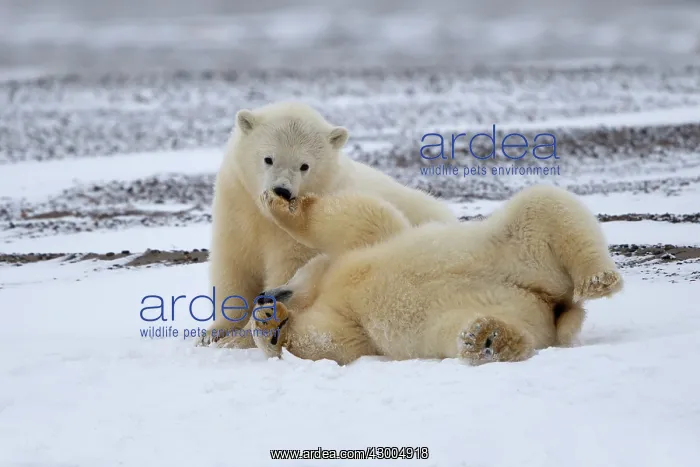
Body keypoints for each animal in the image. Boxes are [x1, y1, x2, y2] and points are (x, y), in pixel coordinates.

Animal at [198, 101, 458, 348]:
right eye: (268, 159)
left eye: (304, 165)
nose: (282, 190)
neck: (264, 216)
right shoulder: (236, 203)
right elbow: (234, 265)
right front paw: (213, 333)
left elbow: (289, 267)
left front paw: (240, 337)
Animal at [249, 184, 624, 365]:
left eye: (288, 278)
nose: (264, 296)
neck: (325, 286)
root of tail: (554, 304)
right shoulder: (345, 316)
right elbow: (331, 340)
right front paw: (271, 324)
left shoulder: (357, 251)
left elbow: (361, 216)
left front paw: (278, 204)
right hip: (515, 310)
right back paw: (488, 338)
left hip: (514, 251)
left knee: (542, 203)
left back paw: (598, 279)